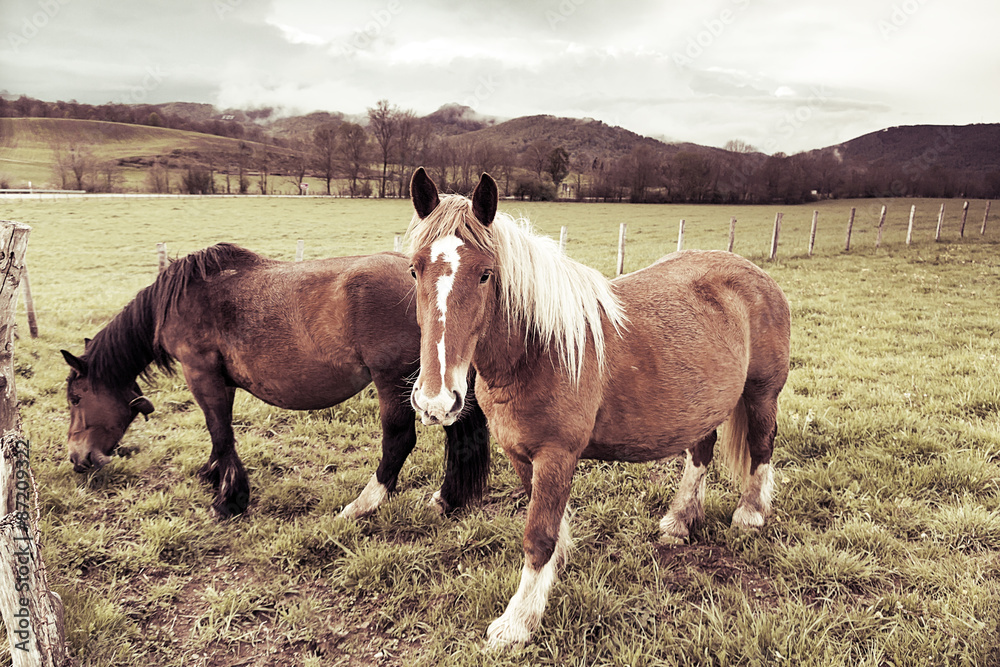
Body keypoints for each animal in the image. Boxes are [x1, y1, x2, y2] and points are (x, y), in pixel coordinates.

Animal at [61, 243, 490, 520]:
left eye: (76, 398)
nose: (78, 459)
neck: (183, 298)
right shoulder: (219, 381)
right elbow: (219, 433)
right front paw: (214, 474)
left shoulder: (201, 374)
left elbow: (220, 432)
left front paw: (229, 499)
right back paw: (448, 500)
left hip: (393, 382)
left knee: (398, 441)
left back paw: (361, 506)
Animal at [405, 168, 791, 648]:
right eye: (414, 269)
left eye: (485, 275)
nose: (436, 401)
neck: (537, 350)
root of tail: (758, 276)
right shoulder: (520, 455)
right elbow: (548, 528)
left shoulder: (557, 455)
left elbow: (537, 536)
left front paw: (517, 622)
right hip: (703, 404)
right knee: (701, 453)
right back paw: (680, 520)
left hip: (761, 395)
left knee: (761, 447)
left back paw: (750, 515)